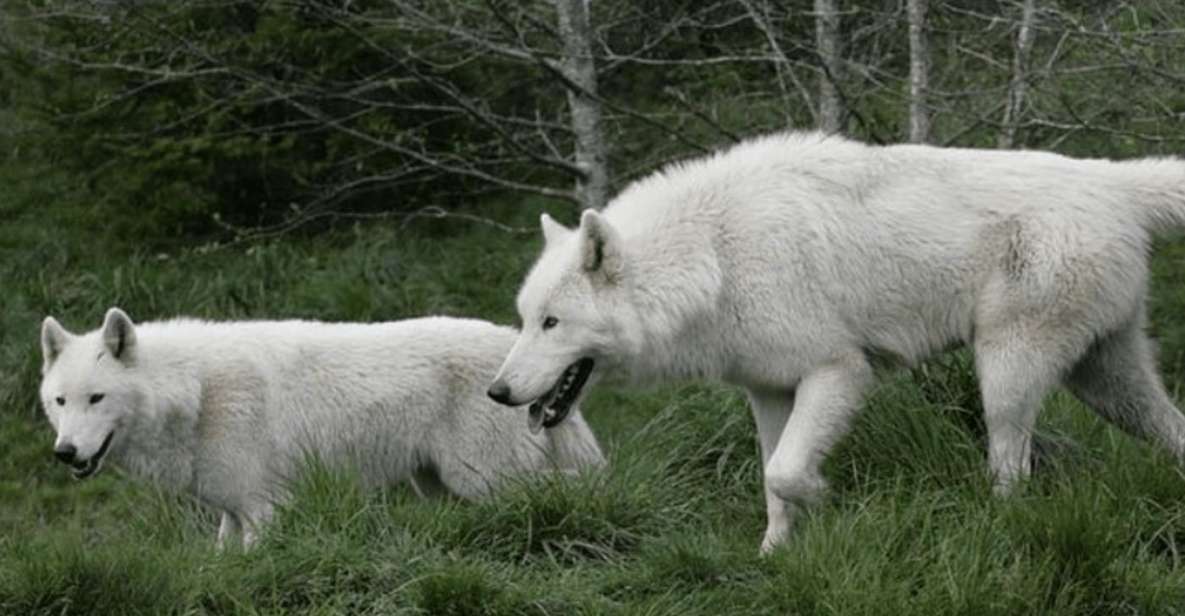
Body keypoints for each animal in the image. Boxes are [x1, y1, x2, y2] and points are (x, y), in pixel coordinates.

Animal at [41, 310, 606, 547]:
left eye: (97, 398)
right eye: (60, 401)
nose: (65, 452)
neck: (197, 393)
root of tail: (510, 348)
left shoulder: (266, 509)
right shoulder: (232, 512)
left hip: (485, 481)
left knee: (573, 486)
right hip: (444, 489)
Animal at [490, 130, 1185, 554]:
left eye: (551, 323)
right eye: (524, 319)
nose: (496, 392)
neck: (713, 255)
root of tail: (1112, 182)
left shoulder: (838, 371)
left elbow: (789, 472)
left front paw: (828, 501)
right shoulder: (769, 392)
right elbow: (772, 478)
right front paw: (774, 555)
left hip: (1007, 377)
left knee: (1012, 463)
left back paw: (1001, 522)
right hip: (1107, 384)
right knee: (1171, 426)